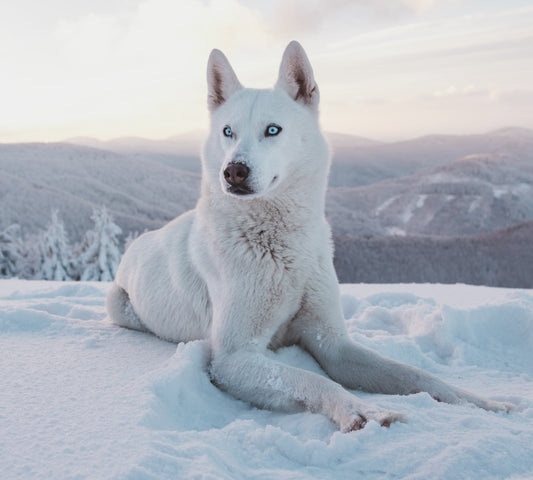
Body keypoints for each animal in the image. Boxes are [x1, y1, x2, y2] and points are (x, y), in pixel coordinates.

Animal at [106, 41, 510, 432]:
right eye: (227, 132)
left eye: (273, 130)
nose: (233, 171)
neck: (282, 249)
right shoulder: (234, 358)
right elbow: (313, 380)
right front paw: (362, 410)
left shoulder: (333, 344)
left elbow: (414, 374)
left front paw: (480, 402)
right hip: (119, 306)